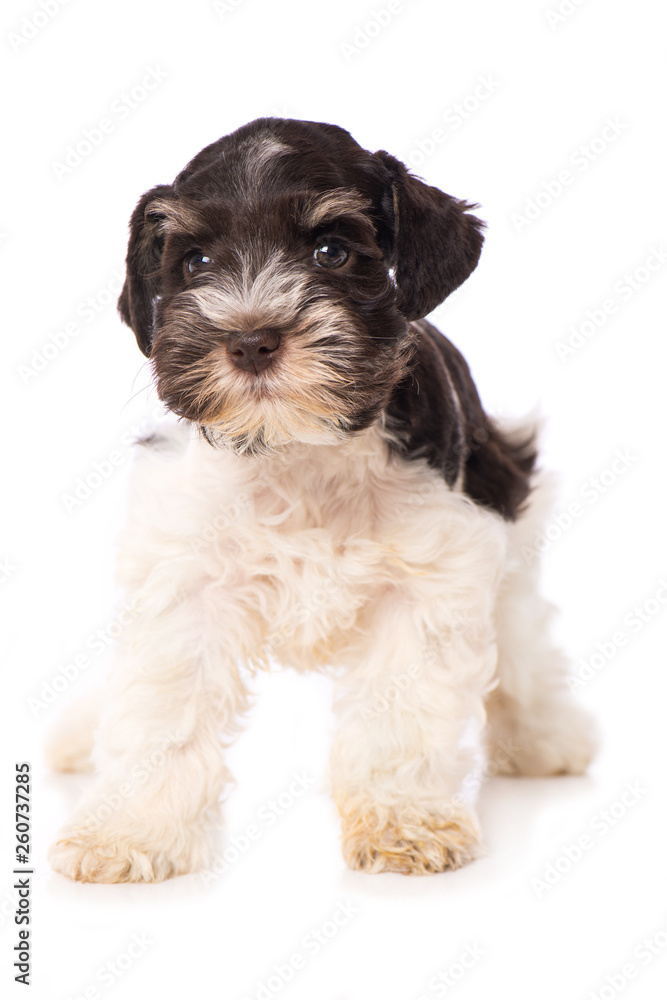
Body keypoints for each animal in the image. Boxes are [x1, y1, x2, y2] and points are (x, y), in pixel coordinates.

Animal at [49, 119, 596, 884]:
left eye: (331, 251)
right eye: (194, 261)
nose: (251, 340)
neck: (298, 449)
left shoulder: (427, 582)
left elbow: (400, 716)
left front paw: (403, 818)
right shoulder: (185, 581)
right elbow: (161, 711)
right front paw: (128, 830)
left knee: (522, 648)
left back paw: (546, 734)